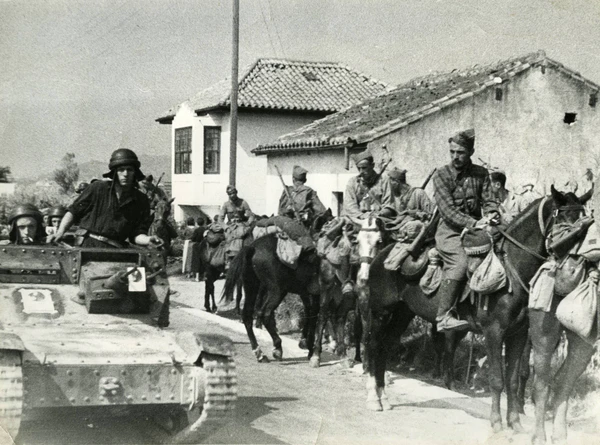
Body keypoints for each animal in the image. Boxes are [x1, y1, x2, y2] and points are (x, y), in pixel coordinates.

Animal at [362, 187, 586, 435]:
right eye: (563, 221)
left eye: (583, 227)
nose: (572, 270)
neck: (511, 268)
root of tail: (381, 255)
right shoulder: (493, 332)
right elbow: (497, 379)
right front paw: (497, 424)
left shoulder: (518, 334)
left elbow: (513, 380)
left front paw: (515, 423)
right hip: (381, 311)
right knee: (374, 345)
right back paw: (373, 398)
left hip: (403, 313)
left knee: (386, 346)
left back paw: (384, 397)